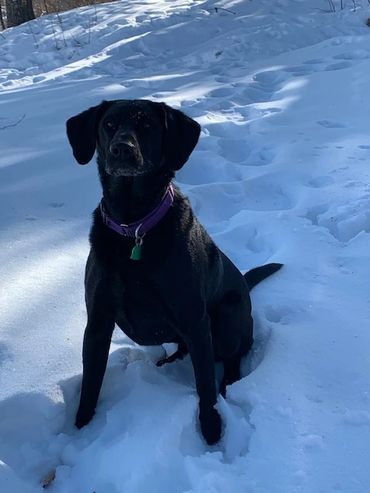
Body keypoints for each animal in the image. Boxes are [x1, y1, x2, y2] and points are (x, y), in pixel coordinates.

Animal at [66, 98, 282, 444]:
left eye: (147, 125)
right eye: (109, 125)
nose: (121, 149)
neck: (133, 228)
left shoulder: (195, 320)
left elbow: (205, 386)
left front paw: (211, 431)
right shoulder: (97, 322)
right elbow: (90, 386)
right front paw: (80, 430)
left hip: (228, 317)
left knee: (231, 360)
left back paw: (228, 385)